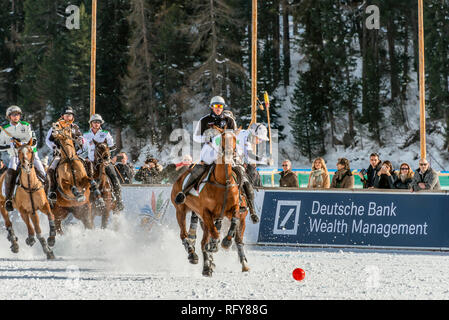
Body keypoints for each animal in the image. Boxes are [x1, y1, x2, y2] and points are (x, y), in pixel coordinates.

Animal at [172, 126, 250, 276]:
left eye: (235, 139)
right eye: (223, 138)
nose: (230, 154)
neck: (223, 182)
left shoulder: (233, 210)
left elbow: (234, 221)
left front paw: (226, 241)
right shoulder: (206, 213)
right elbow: (214, 233)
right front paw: (214, 244)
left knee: (203, 241)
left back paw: (208, 266)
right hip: (180, 210)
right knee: (184, 235)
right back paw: (193, 255)